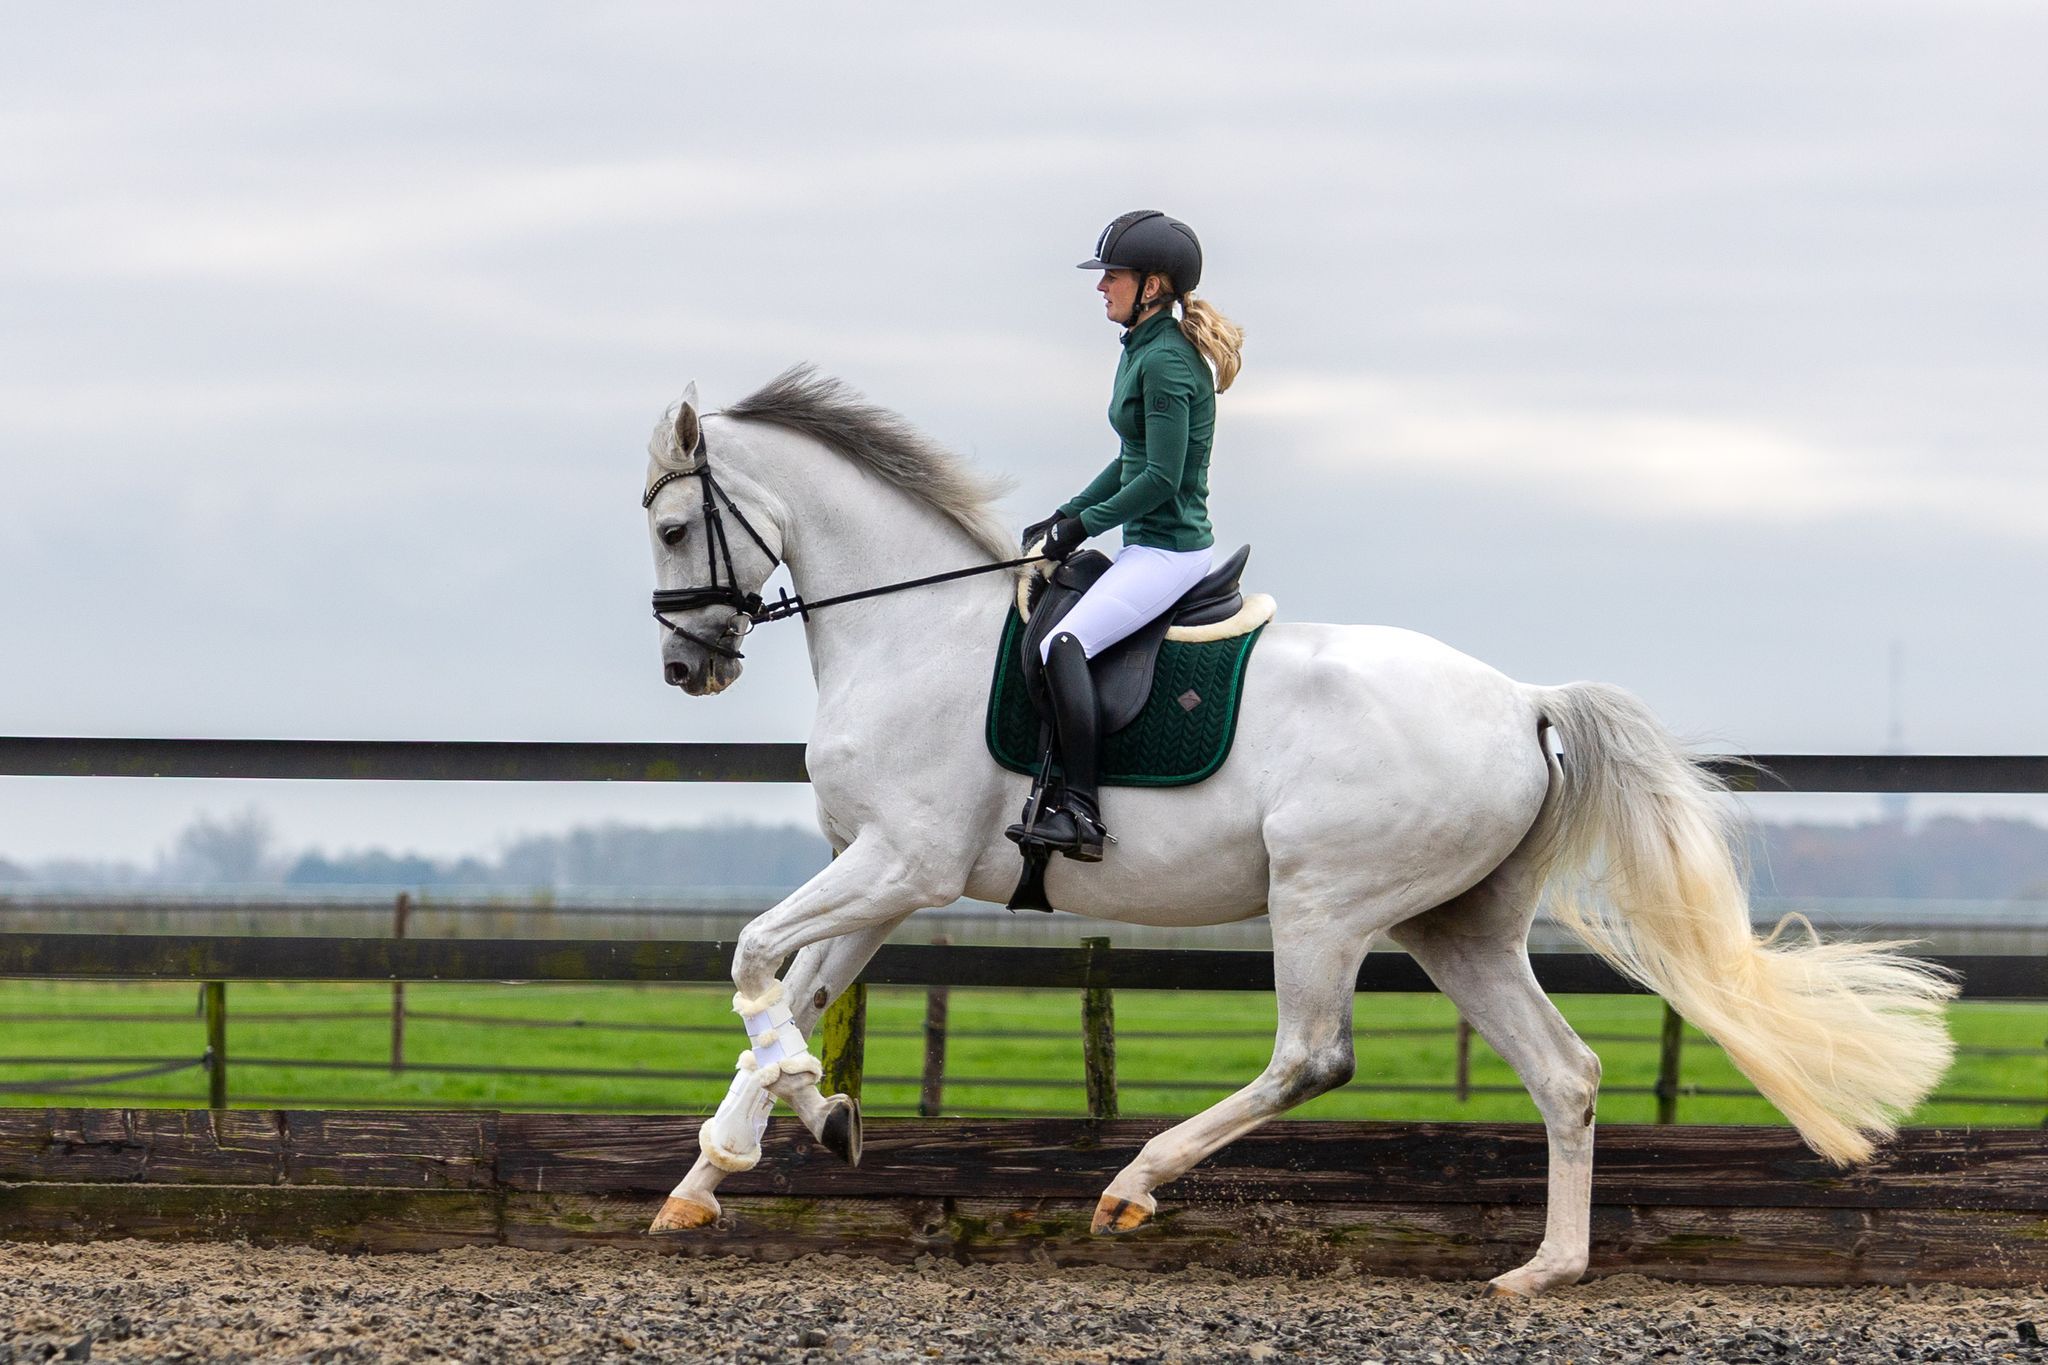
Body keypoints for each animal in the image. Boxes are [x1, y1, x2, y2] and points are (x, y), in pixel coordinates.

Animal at [638, 365, 1955, 1295]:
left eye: (666, 530)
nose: (684, 668)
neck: (910, 635)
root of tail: (1523, 700)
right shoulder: (881, 874)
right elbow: (796, 994)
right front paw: (737, 1159)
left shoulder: (898, 863)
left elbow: (753, 960)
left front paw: (791, 1119)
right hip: (1456, 928)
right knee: (1563, 1074)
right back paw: (1542, 1269)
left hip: (1321, 900)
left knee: (1311, 1057)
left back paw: (1132, 1186)